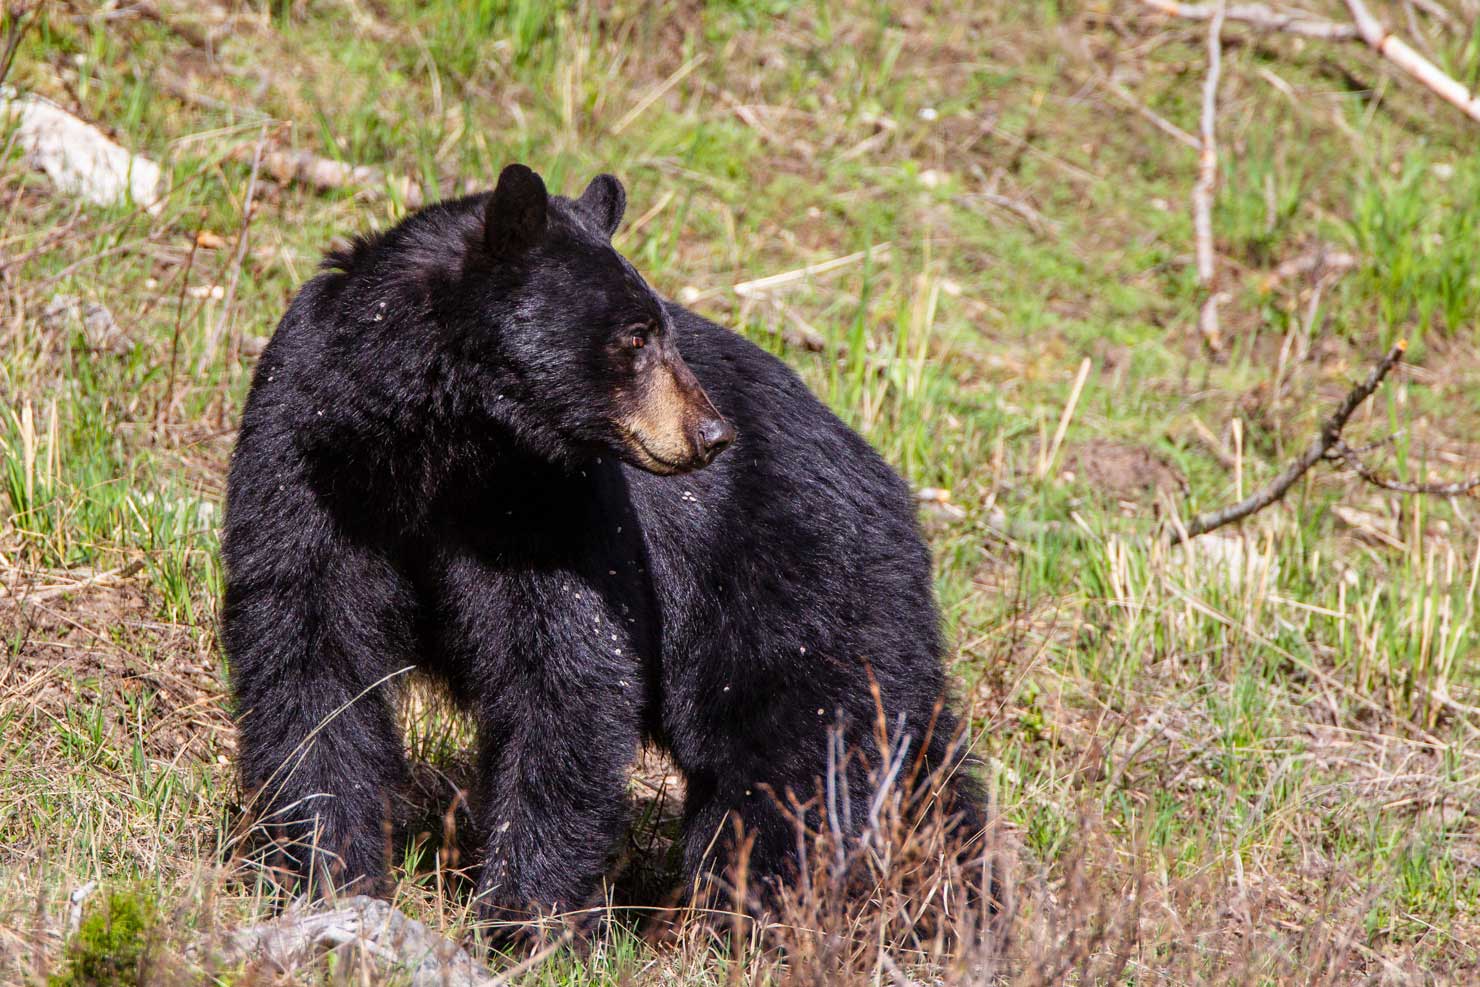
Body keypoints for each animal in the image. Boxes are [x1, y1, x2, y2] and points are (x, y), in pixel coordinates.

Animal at [222, 164, 982, 935]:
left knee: (800, 762)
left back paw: (759, 915)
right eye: (637, 335)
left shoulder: (552, 505)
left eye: (660, 328)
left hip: (799, 591)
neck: (439, 446)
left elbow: (566, 672)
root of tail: (896, 497)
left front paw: (526, 917)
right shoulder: (310, 453)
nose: (711, 432)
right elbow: (312, 650)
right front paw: (324, 868)